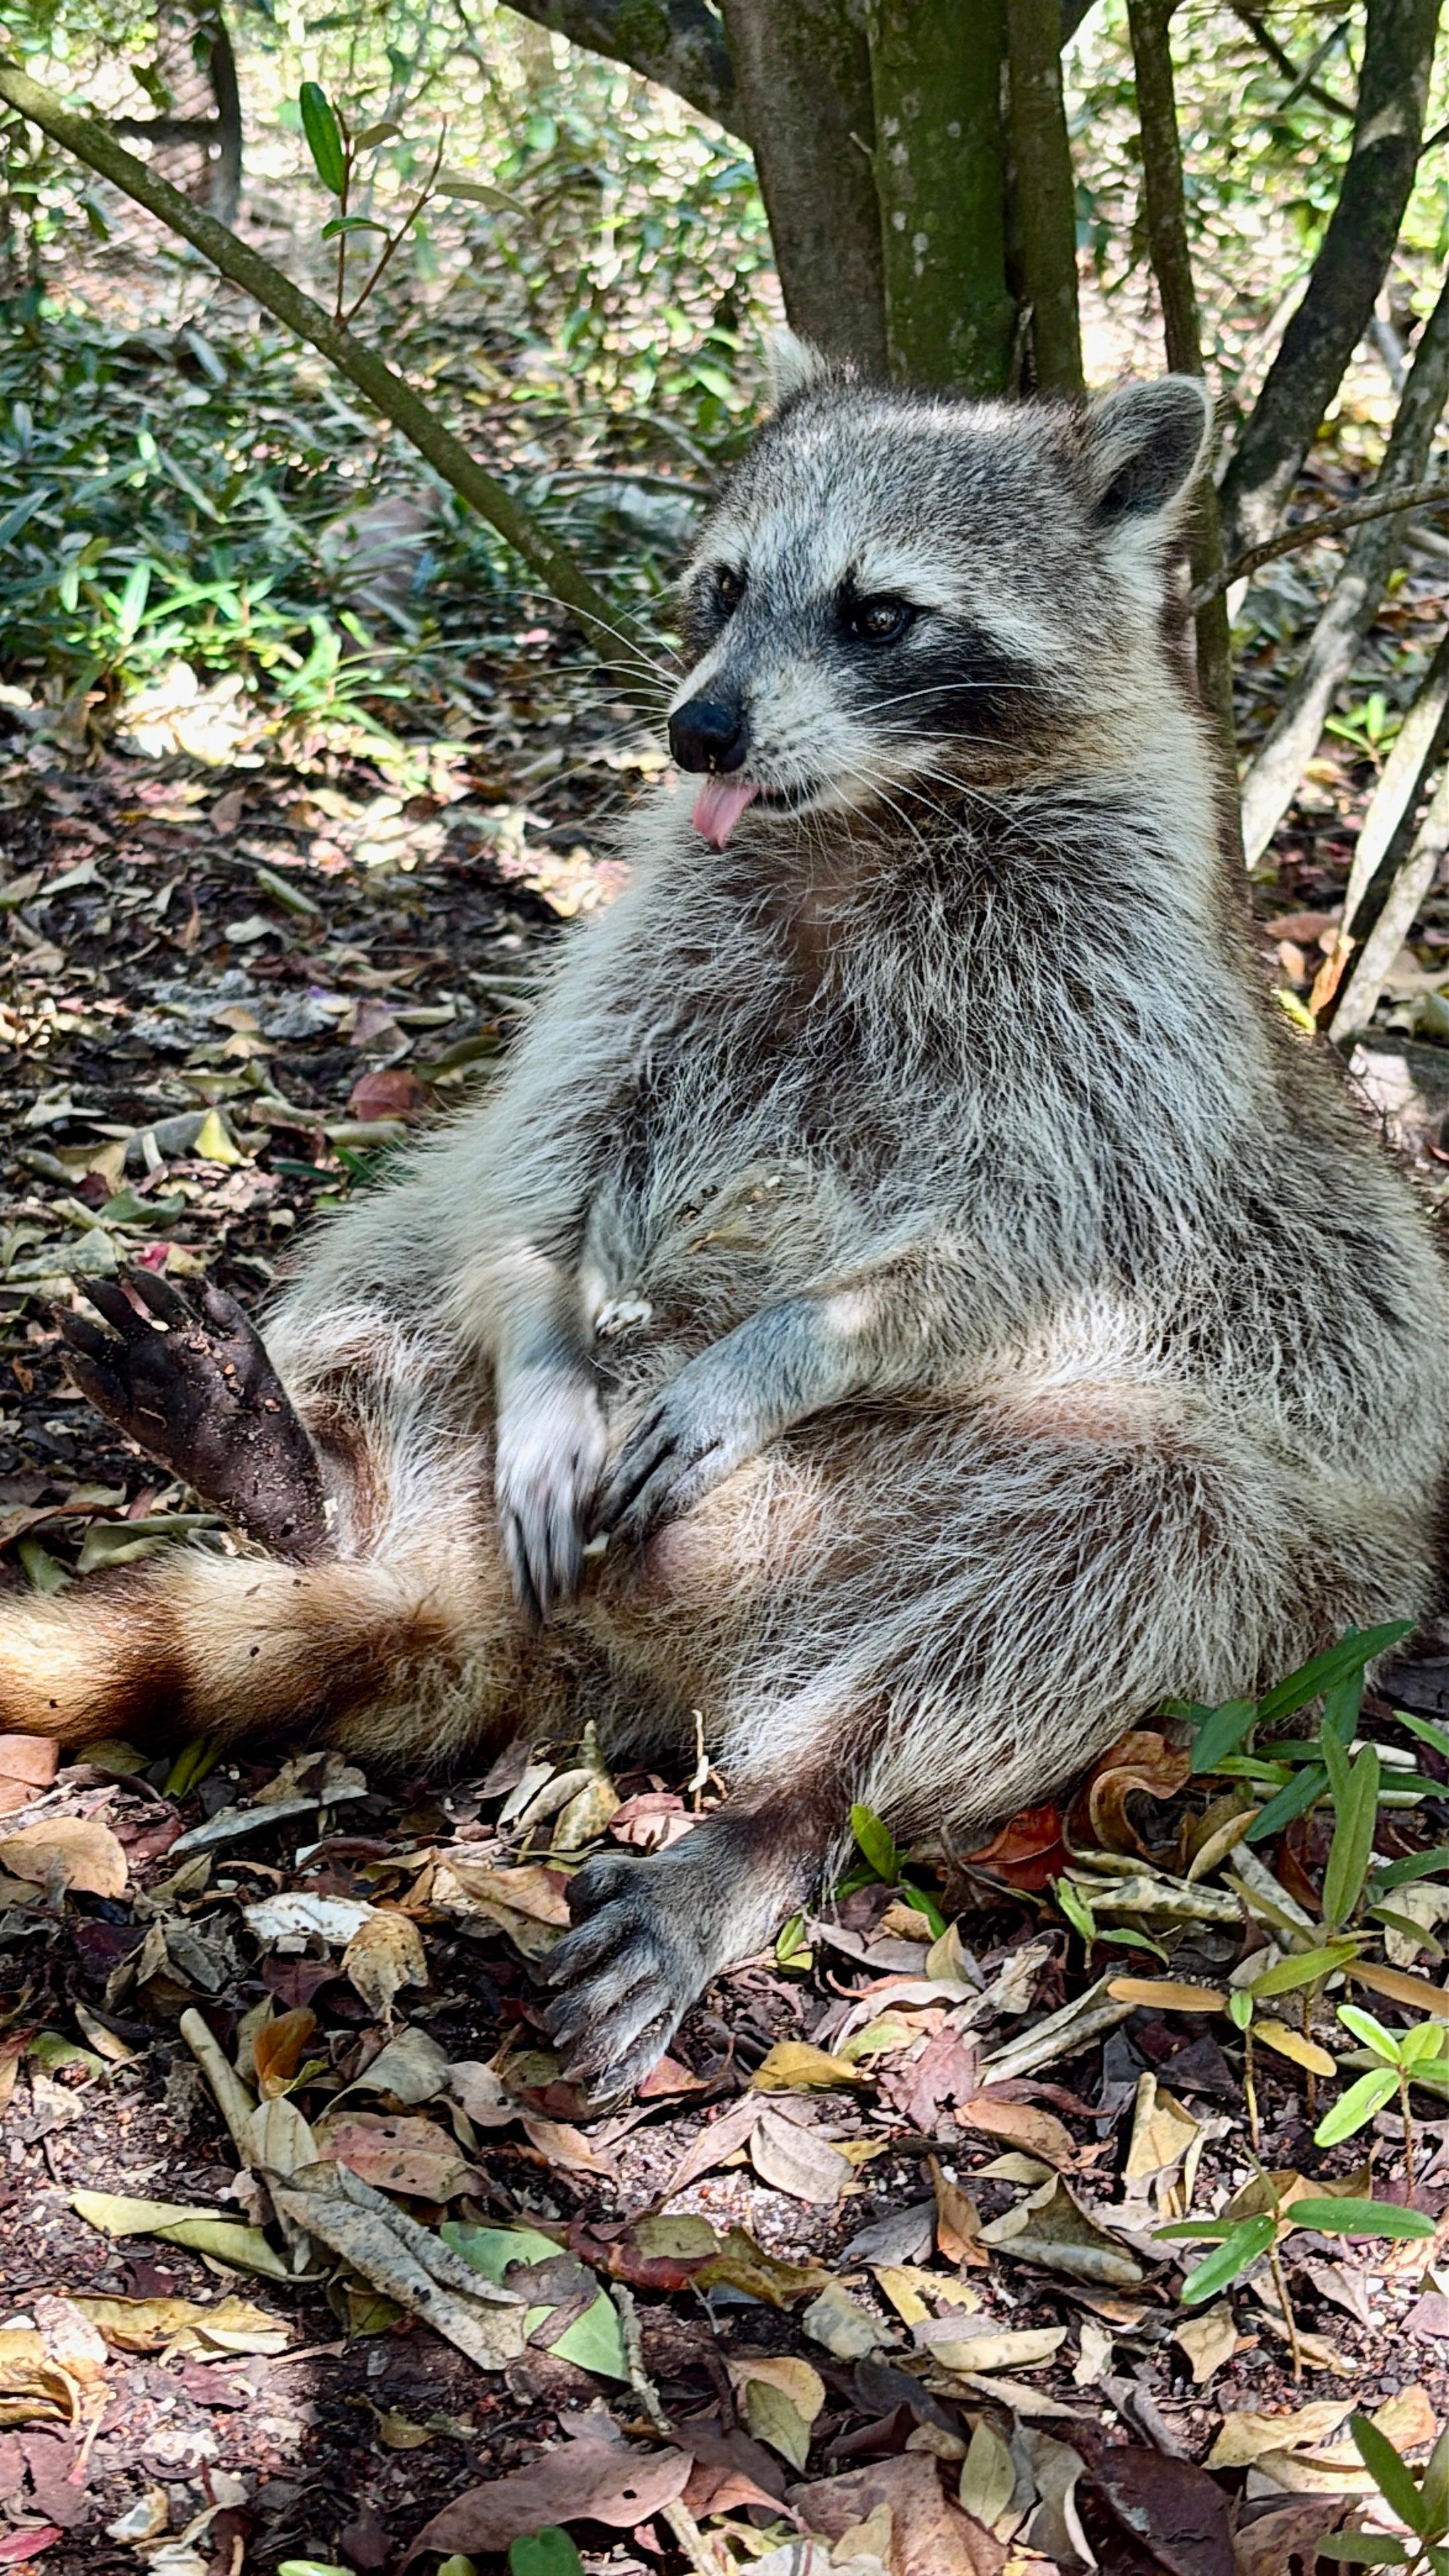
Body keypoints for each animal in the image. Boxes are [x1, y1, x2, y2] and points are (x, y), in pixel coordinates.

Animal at [10, 339, 1449, 2098]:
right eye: (720, 589)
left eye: (878, 612)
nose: (697, 728)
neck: (866, 816)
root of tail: (567, 1632)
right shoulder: (665, 936)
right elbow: (560, 1144)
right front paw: (545, 1366)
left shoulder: (1119, 1000)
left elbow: (1038, 1229)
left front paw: (784, 1346)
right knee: (423, 1234)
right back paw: (288, 1466)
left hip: (1261, 1578)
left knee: (1120, 1541)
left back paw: (788, 1805)